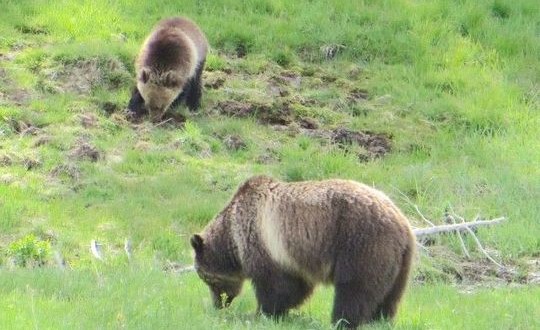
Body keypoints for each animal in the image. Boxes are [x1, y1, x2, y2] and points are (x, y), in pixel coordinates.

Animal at [192, 175, 416, 328]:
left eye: (206, 279)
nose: (218, 305)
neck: (232, 237)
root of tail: (403, 224)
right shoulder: (291, 257)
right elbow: (296, 287)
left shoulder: (265, 242)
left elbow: (275, 286)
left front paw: (262, 313)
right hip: (398, 263)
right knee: (390, 297)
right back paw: (380, 320)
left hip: (362, 244)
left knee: (354, 290)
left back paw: (341, 321)